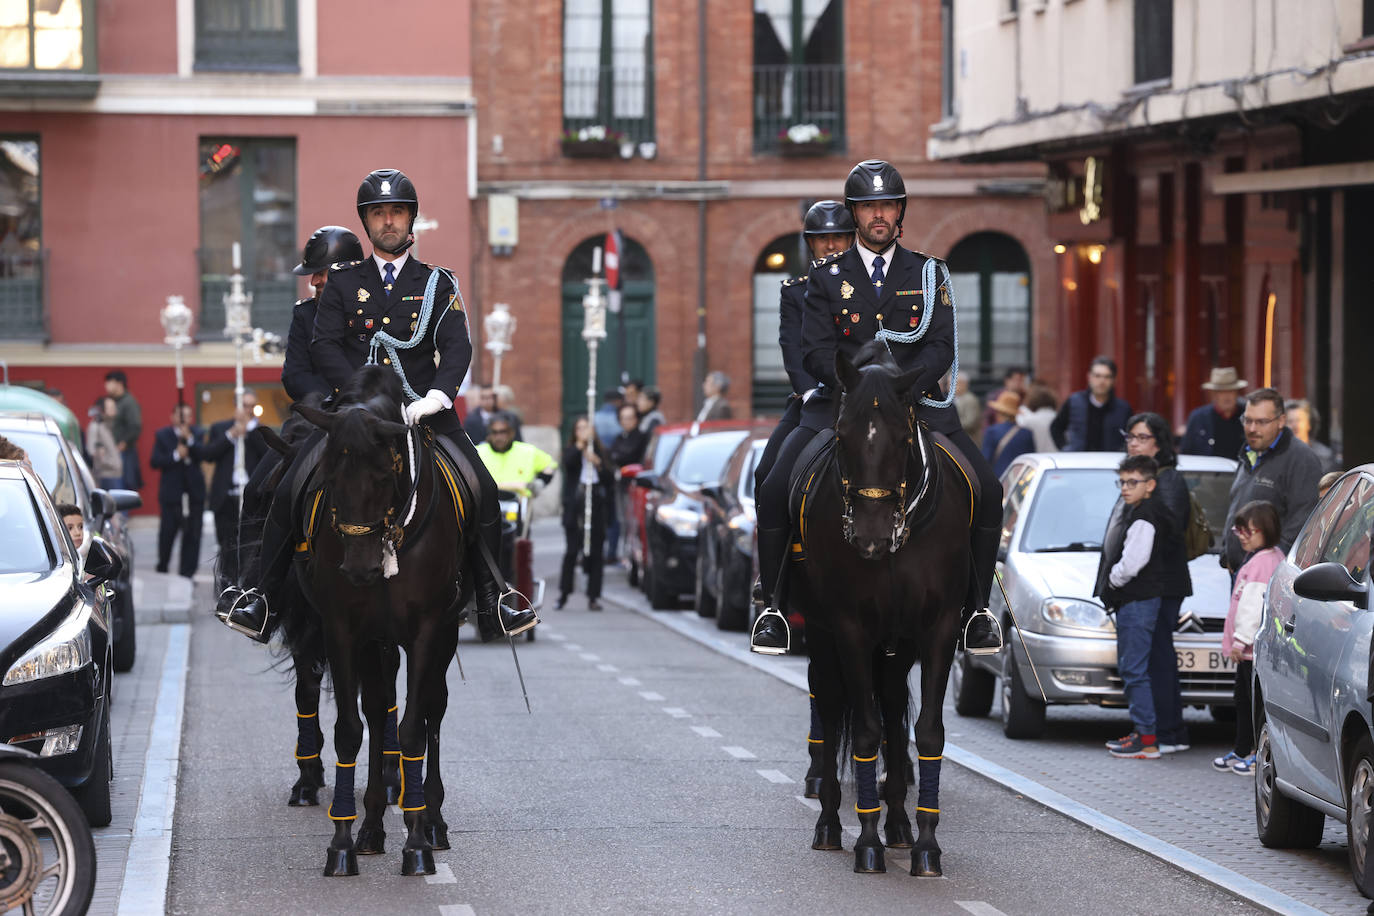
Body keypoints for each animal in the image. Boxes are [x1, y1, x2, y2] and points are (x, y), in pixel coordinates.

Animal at [291, 362, 472, 873]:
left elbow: (412, 729)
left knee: (432, 709)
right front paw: (342, 842)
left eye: (382, 473)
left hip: (443, 634)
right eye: (329, 475)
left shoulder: (428, 630)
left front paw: (416, 841)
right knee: (375, 710)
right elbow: (352, 729)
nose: (359, 570)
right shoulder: (343, 630)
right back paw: (372, 825)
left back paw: (431, 819)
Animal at [791, 346, 972, 878]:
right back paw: (831, 823)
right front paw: (866, 842)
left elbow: (926, 732)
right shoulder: (850, 629)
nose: (869, 538)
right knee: (831, 707)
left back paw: (898, 823)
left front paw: (926, 845)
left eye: (901, 437)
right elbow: (866, 733)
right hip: (824, 636)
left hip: (896, 647)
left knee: (893, 706)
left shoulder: (938, 629)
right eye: (842, 435)